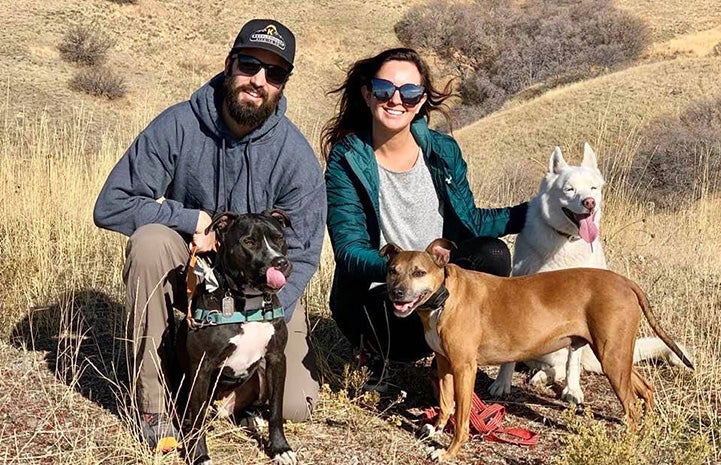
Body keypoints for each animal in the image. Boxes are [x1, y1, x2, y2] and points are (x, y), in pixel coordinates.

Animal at [174, 209, 296, 464]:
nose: (280, 262)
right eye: (249, 242)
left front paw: (280, 448)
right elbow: (198, 418)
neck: (249, 303)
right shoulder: (202, 367)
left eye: (279, 238)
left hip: (260, 377)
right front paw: (199, 455)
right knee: (193, 414)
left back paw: (249, 416)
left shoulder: (276, 359)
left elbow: (276, 409)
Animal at [380, 239, 696, 460]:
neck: (444, 299)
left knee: (631, 403)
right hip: (618, 356)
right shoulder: (445, 363)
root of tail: (626, 282)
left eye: (419, 272)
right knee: (645, 389)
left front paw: (448, 451)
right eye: (392, 271)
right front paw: (435, 428)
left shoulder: (463, 368)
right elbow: (446, 404)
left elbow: (462, 418)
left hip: (612, 357)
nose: (396, 293)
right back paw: (646, 430)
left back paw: (628, 442)